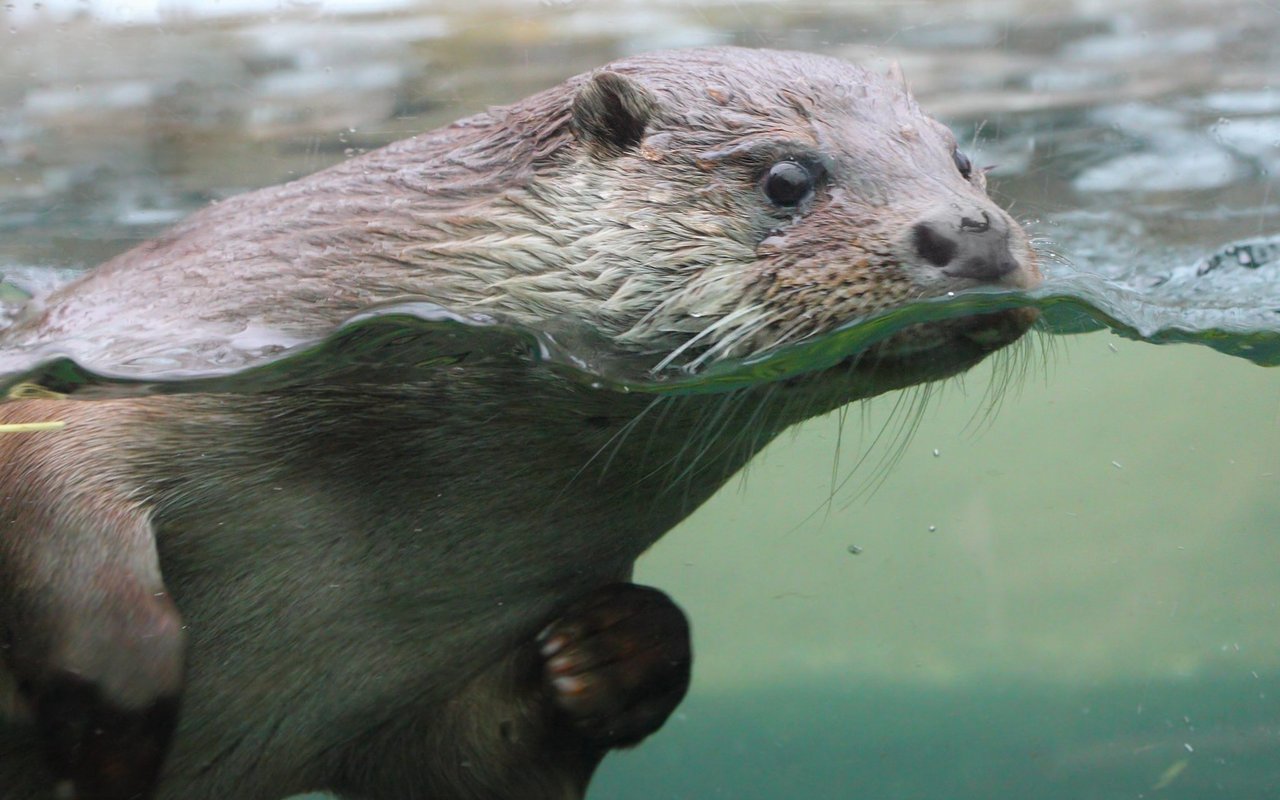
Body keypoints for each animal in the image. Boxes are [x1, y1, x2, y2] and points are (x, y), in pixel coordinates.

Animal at [0, 46, 1039, 793]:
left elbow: (484, 757)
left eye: (963, 161)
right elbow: (50, 491)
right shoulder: (105, 389)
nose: (973, 231)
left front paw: (618, 650)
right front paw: (113, 706)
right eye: (787, 178)